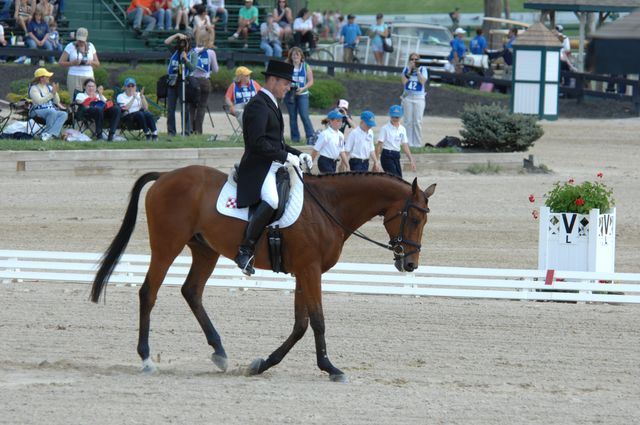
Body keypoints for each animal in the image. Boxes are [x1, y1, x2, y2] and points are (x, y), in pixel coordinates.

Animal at [90, 165, 436, 380]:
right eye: (414, 219)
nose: (410, 265)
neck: (328, 207)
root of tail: (165, 176)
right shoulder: (310, 270)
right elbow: (317, 321)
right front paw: (330, 368)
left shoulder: (303, 271)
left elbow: (300, 324)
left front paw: (262, 364)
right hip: (167, 244)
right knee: (149, 292)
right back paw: (147, 359)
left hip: (205, 250)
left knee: (191, 292)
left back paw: (220, 353)